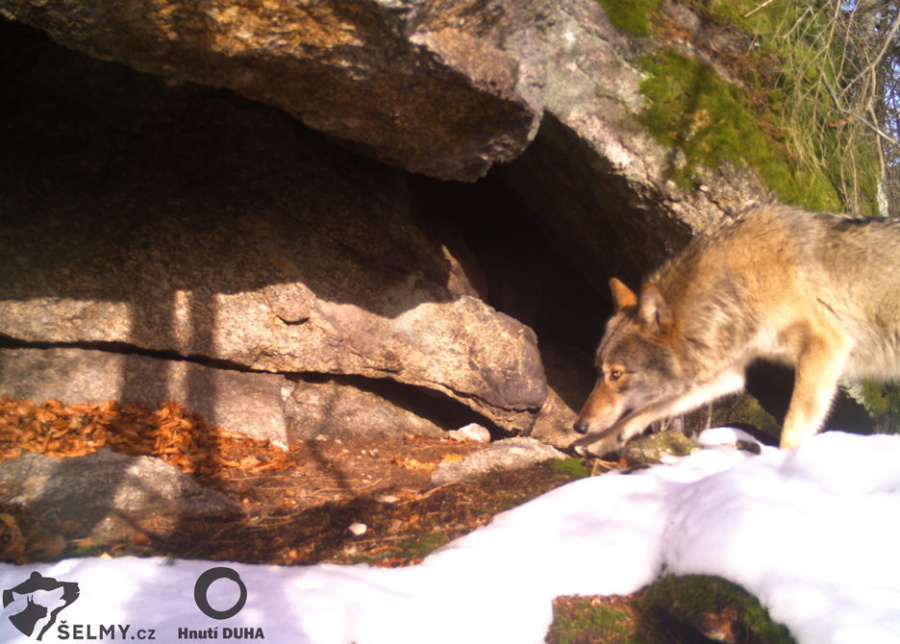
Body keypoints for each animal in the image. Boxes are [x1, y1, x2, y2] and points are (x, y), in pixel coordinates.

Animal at [572, 204, 900, 456]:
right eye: (599, 371)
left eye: (616, 374)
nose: (579, 425)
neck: (738, 285)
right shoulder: (729, 372)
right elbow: (644, 412)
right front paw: (598, 442)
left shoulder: (824, 346)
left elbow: (791, 431)